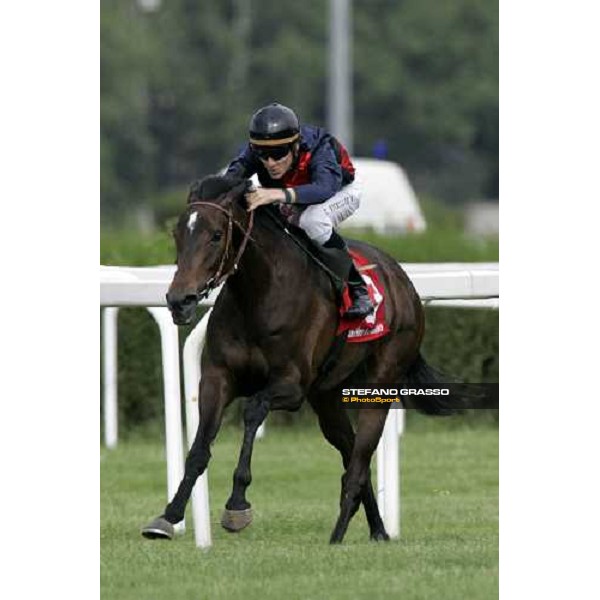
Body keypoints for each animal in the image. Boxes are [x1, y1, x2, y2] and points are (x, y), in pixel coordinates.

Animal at [142, 173, 454, 544]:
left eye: (217, 234)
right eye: (177, 234)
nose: (179, 300)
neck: (259, 296)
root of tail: (403, 281)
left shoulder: (291, 386)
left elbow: (253, 410)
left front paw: (237, 505)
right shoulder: (217, 378)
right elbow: (200, 445)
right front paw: (168, 515)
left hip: (380, 383)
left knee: (359, 460)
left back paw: (338, 535)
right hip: (326, 397)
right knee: (351, 453)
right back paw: (377, 530)